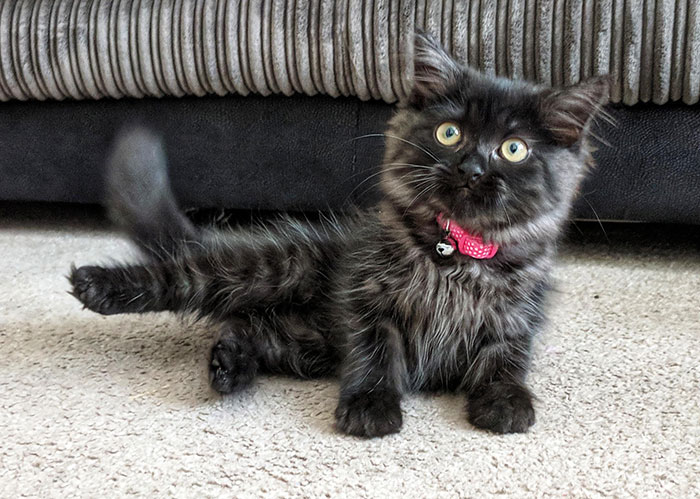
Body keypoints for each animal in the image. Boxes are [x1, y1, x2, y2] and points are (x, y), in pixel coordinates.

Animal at [68, 33, 608, 438]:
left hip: (308, 344)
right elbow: (376, 353)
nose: (471, 168)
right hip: (276, 269)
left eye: (513, 149)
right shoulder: (369, 300)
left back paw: (228, 364)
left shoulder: (515, 318)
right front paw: (370, 405)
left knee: (248, 326)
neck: (455, 252)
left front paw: (506, 401)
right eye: (450, 133)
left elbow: (505, 360)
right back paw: (99, 286)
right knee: (184, 277)